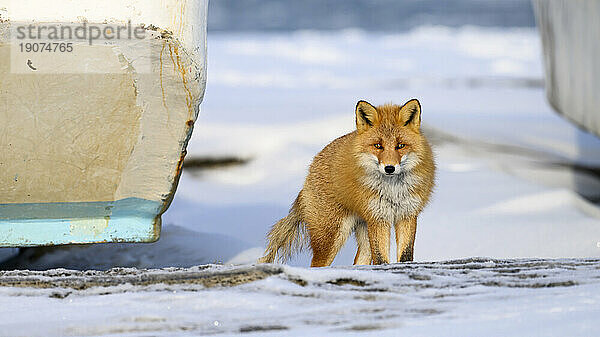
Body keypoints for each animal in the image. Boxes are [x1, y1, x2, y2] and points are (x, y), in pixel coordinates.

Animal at [260, 98, 434, 266]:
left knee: (358, 262)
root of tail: (311, 168)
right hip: (331, 236)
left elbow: (405, 256)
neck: (393, 191)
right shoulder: (378, 218)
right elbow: (381, 259)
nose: (389, 168)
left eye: (400, 145)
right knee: (317, 264)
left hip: (363, 232)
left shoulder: (407, 215)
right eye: (378, 146)